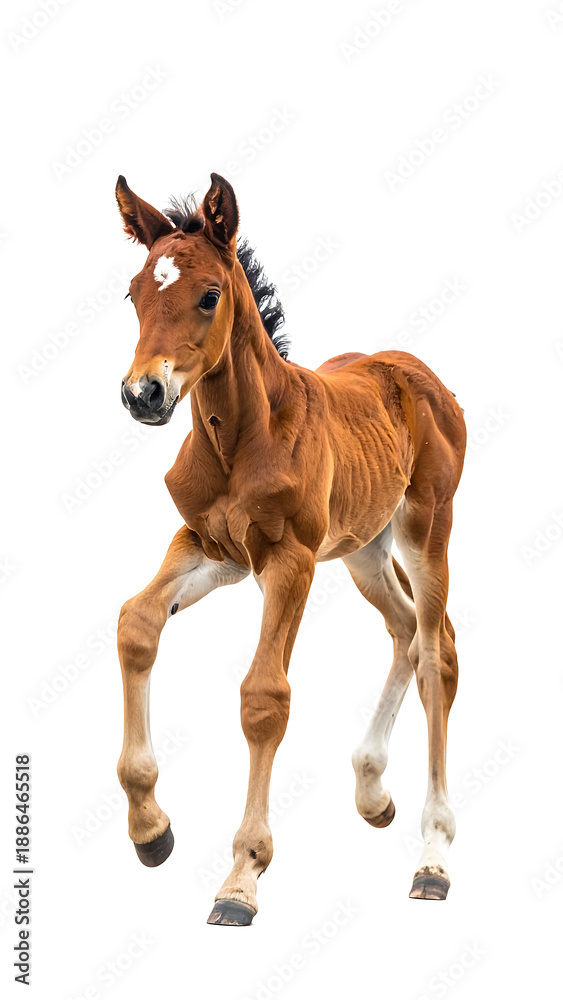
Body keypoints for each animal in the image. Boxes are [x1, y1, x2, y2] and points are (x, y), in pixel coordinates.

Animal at [115, 172, 466, 926]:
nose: (143, 393)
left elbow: (263, 696)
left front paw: (242, 876)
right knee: (405, 630)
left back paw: (432, 856)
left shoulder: (290, 560)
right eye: (133, 293)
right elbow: (137, 623)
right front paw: (150, 827)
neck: (241, 436)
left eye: (208, 295)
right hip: (364, 548)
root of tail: (416, 371)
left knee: (436, 652)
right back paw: (372, 792)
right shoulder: (210, 547)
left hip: (427, 526)